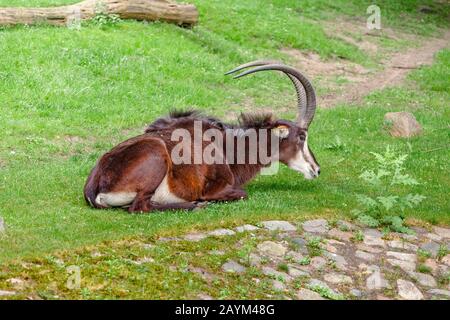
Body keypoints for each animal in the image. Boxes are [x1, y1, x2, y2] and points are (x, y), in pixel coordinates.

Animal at [84, 60, 320, 212]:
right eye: (302, 136)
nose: (316, 170)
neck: (227, 146)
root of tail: (94, 188)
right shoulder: (217, 188)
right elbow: (242, 193)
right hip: (156, 156)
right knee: (139, 207)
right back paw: (196, 205)